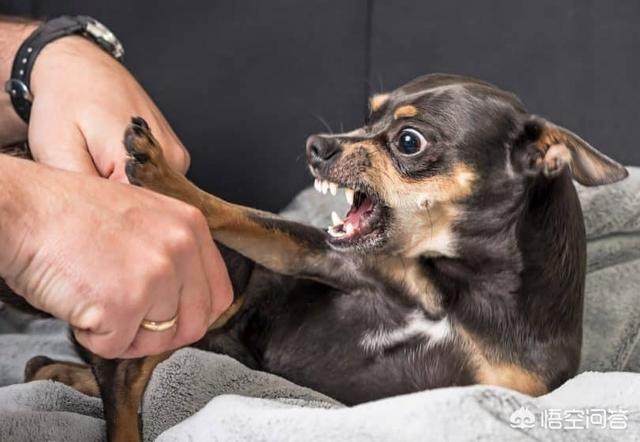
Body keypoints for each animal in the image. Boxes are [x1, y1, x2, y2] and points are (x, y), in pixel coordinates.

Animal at [0, 74, 632, 440]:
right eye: (368, 115)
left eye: (408, 141)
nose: (316, 146)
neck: (453, 288)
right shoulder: (318, 257)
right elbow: (233, 212)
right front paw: (163, 176)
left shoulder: (499, 390)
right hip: (225, 287)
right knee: (124, 375)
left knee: (115, 375)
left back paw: (58, 372)